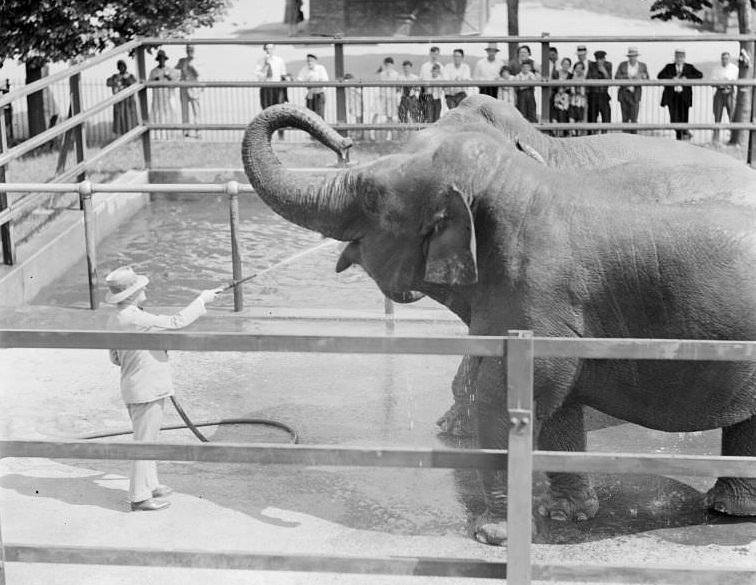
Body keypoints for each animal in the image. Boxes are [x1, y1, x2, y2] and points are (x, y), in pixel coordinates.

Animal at [241, 100, 756, 544]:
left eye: (369, 194)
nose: (342, 143)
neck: (524, 179)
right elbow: (556, 404)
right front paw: (565, 515)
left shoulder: (539, 298)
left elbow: (504, 397)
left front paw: (493, 535)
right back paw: (731, 509)